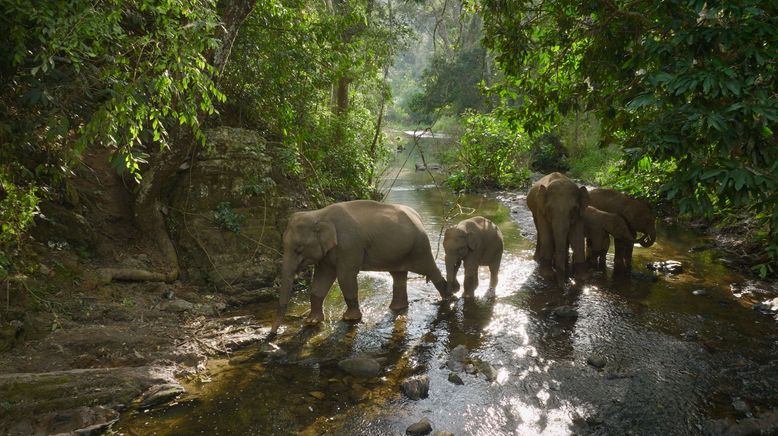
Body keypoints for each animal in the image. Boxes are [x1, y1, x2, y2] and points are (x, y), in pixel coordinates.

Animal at [270, 199, 448, 336]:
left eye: (299, 249)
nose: (273, 333)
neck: (319, 214)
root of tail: (418, 216)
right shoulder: (329, 253)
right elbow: (322, 278)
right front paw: (312, 320)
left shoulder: (348, 246)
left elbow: (345, 276)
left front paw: (350, 318)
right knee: (398, 275)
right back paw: (397, 308)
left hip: (420, 247)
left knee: (430, 270)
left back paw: (447, 297)